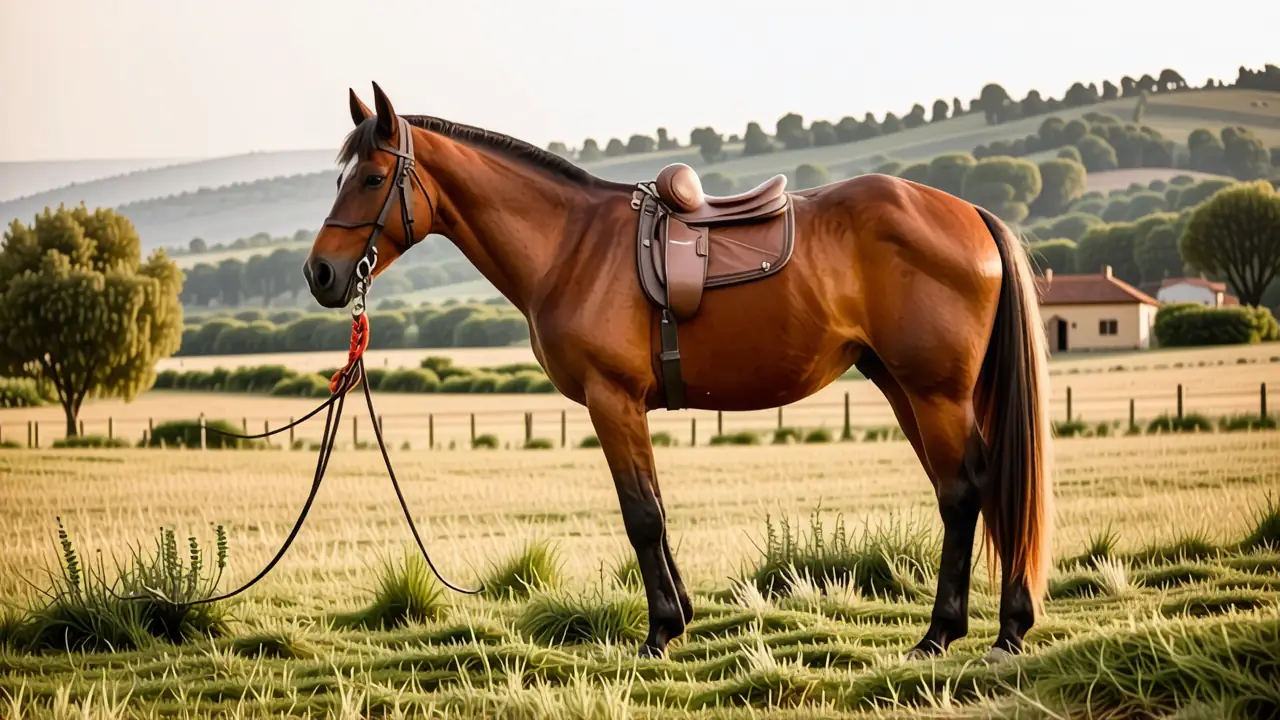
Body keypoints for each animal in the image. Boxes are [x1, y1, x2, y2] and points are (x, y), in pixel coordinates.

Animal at [304, 82, 1053, 661]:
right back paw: (994, 625)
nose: (321, 274)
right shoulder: (628, 407)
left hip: (934, 392)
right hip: (904, 388)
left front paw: (660, 632)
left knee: (964, 490)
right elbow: (657, 507)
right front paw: (681, 616)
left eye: (371, 178)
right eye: (339, 177)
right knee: (971, 487)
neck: (571, 245)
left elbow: (640, 515)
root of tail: (971, 214)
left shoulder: (611, 400)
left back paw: (953, 633)